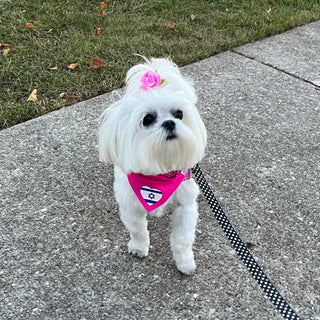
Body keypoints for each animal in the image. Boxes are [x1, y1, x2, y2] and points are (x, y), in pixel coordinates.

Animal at [99, 57, 206, 276]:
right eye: (147, 119)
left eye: (179, 114)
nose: (170, 123)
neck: (159, 170)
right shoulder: (130, 205)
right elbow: (138, 230)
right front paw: (139, 248)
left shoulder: (186, 205)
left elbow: (183, 239)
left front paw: (185, 263)